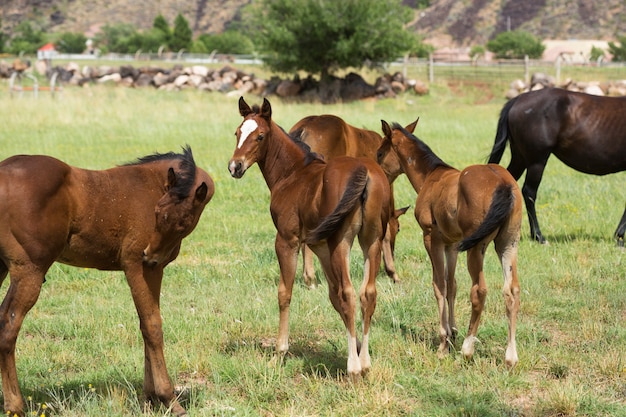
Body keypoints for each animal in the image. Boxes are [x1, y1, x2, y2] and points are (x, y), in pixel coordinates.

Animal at [0, 145, 213, 414]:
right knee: (8, 327)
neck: (154, 183)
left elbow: (145, 326)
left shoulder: (154, 268)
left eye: (183, 224)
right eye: (156, 212)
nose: (149, 255)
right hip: (29, 271)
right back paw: (15, 405)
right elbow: (153, 326)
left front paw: (149, 398)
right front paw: (168, 399)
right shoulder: (139, 268)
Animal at [227, 96, 388, 376]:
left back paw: (353, 367)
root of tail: (364, 172)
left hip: (341, 242)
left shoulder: (287, 240)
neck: (293, 174)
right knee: (367, 293)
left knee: (349, 293)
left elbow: (285, 293)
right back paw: (365, 362)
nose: (235, 166)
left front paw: (279, 352)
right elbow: (332, 295)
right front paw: (356, 345)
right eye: (237, 132)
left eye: (260, 136)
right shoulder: (319, 246)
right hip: (371, 241)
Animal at [378, 118, 520, 366]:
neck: (431, 176)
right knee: (511, 290)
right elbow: (452, 284)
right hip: (508, 243)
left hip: (477, 247)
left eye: (379, 153)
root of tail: (504, 182)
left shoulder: (431, 238)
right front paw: (453, 332)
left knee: (479, 291)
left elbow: (439, 285)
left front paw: (444, 342)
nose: (376, 175)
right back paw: (510, 356)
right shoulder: (452, 244)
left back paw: (467, 349)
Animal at [488, 87, 624, 244]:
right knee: (529, 192)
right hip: (536, 161)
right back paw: (538, 236)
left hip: (520, 158)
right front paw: (620, 237)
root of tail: (517, 99)